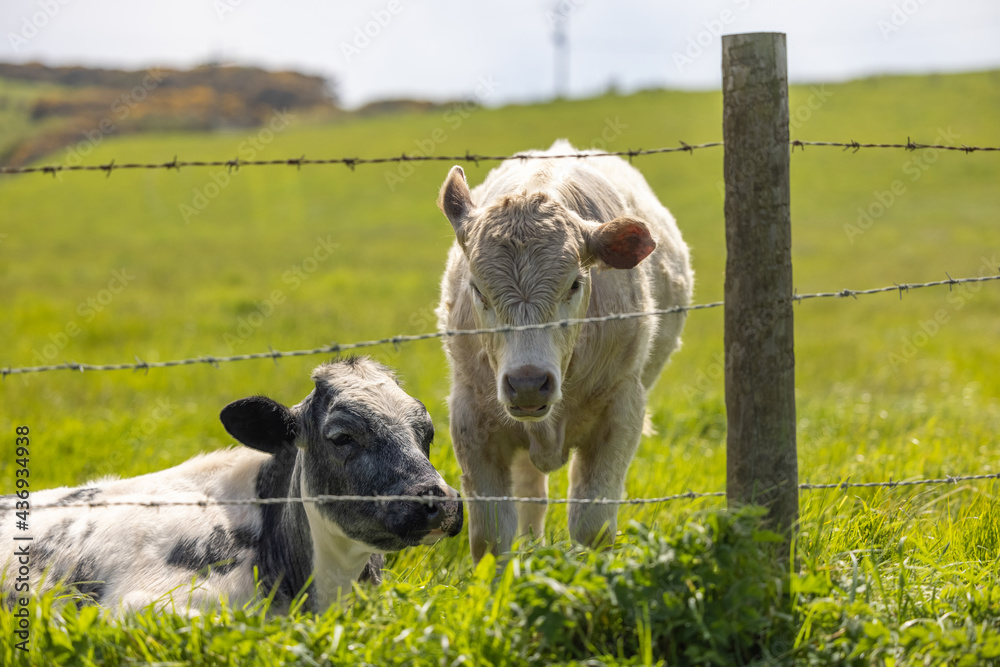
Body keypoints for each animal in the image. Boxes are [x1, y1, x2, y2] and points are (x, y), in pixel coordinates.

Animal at [435, 139, 693, 563]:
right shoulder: (470, 418)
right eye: (477, 289)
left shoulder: (621, 412)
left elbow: (593, 526)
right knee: (530, 493)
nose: (527, 384)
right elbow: (490, 536)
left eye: (574, 284)